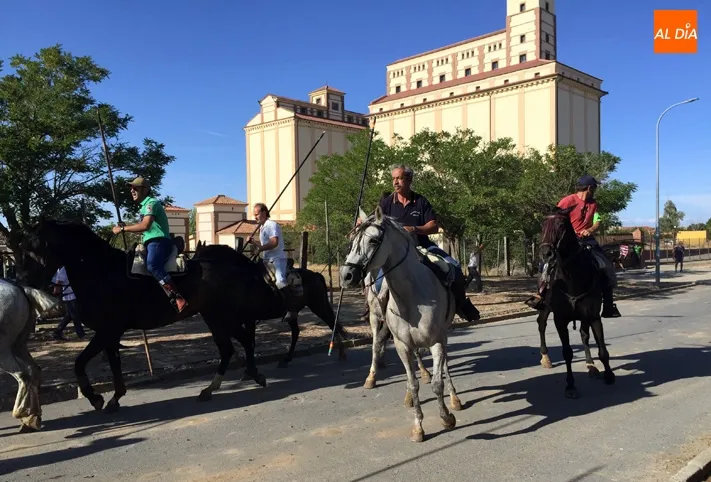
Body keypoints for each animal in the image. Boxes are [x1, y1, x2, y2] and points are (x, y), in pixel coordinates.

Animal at [0, 279, 57, 432]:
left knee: (23, 375)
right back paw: (32, 418)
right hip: (18, 345)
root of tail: (20, 288)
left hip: (3, 350)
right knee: (34, 370)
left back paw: (22, 413)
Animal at [21, 218, 278, 413]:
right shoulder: (110, 335)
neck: (101, 271)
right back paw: (220, 385)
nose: (26, 280)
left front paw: (95, 398)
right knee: (233, 346)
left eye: (39, 247)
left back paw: (243, 378)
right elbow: (114, 364)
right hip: (215, 317)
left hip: (223, 316)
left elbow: (79, 363)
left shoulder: (106, 332)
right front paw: (115, 397)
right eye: (27, 248)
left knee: (240, 343)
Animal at [194, 240, 349, 367]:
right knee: (296, 332)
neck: (240, 279)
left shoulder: (248, 318)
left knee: (332, 323)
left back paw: (342, 353)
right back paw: (287, 359)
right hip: (297, 311)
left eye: (197, 258)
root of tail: (316, 275)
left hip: (319, 305)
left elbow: (250, 340)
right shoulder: (239, 319)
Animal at [341, 207, 462, 443]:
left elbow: (438, 382)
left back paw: (454, 398)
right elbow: (413, 383)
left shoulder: (437, 341)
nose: (347, 275)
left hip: (443, 335)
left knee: (445, 367)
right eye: (353, 241)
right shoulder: (402, 345)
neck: (412, 298)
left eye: (373, 240)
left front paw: (446, 417)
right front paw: (418, 427)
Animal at [538, 206, 615, 399]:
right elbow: (567, 353)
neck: (572, 277)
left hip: (584, 316)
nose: (545, 253)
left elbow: (602, 348)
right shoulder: (560, 320)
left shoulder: (593, 316)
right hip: (546, 308)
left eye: (560, 225)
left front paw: (609, 375)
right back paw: (545, 357)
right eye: (542, 225)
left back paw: (591, 365)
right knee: (541, 323)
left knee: (584, 335)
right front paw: (570, 385)